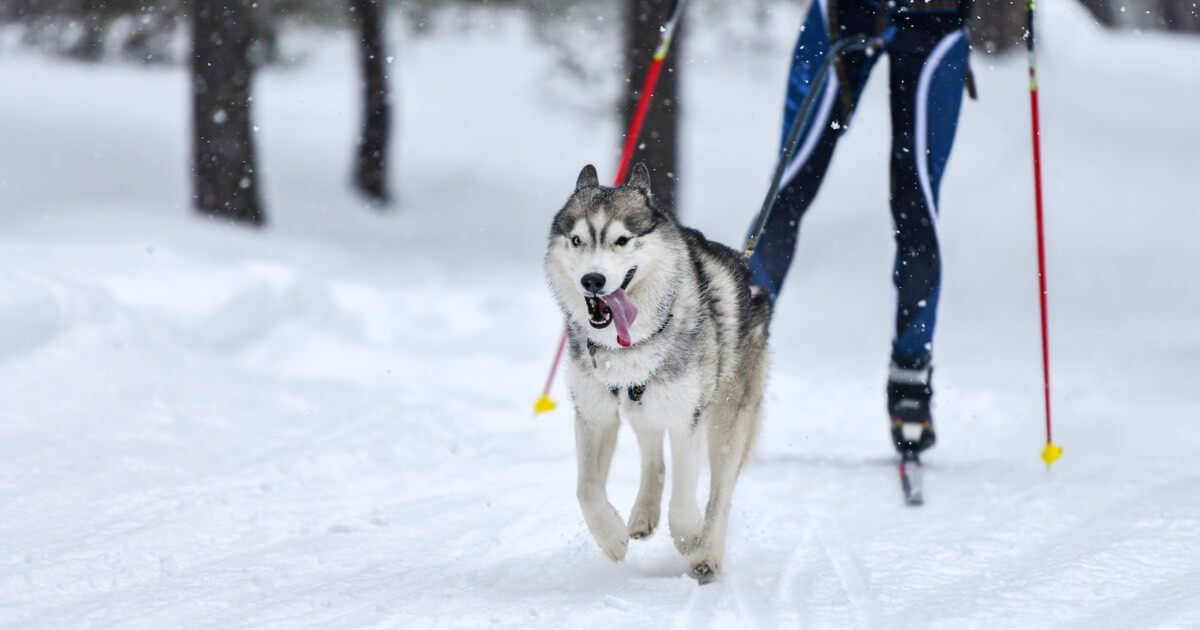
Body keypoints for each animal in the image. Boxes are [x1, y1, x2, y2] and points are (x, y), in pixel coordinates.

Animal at [544, 163, 768, 585]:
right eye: (577, 240)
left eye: (621, 240)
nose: (592, 281)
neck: (628, 346)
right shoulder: (594, 414)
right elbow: (587, 490)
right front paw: (612, 539)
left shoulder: (688, 419)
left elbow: (684, 498)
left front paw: (688, 537)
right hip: (641, 408)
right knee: (653, 457)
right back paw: (642, 515)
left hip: (725, 421)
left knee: (720, 493)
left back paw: (706, 554)